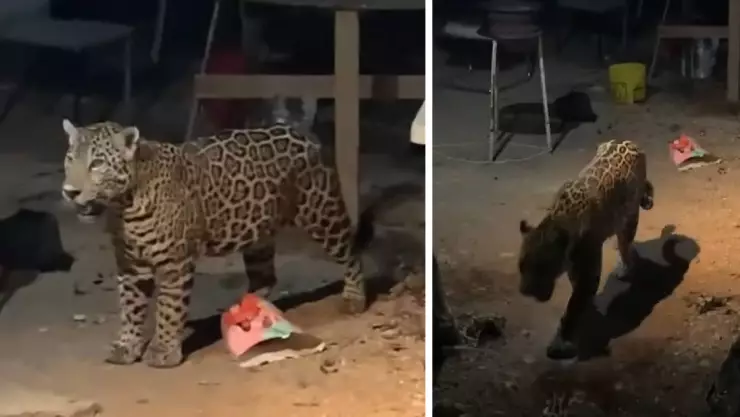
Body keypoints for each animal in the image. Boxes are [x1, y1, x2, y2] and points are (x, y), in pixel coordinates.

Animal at [60, 119, 375, 368]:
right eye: (70, 159)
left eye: (97, 164)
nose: (69, 192)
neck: (123, 206)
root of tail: (307, 133)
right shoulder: (131, 266)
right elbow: (130, 309)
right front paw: (126, 347)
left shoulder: (175, 263)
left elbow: (168, 309)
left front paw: (163, 352)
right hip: (257, 231)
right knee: (265, 277)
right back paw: (244, 314)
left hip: (321, 212)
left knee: (351, 251)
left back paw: (354, 299)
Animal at [517, 139, 654, 361]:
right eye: (521, 266)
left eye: (543, 267)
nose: (525, 292)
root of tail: (630, 142)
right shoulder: (576, 267)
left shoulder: (588, 271)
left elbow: (573, 307)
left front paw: (560, 344)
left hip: (629, 216)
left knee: (625, 242)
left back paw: (625, 266)